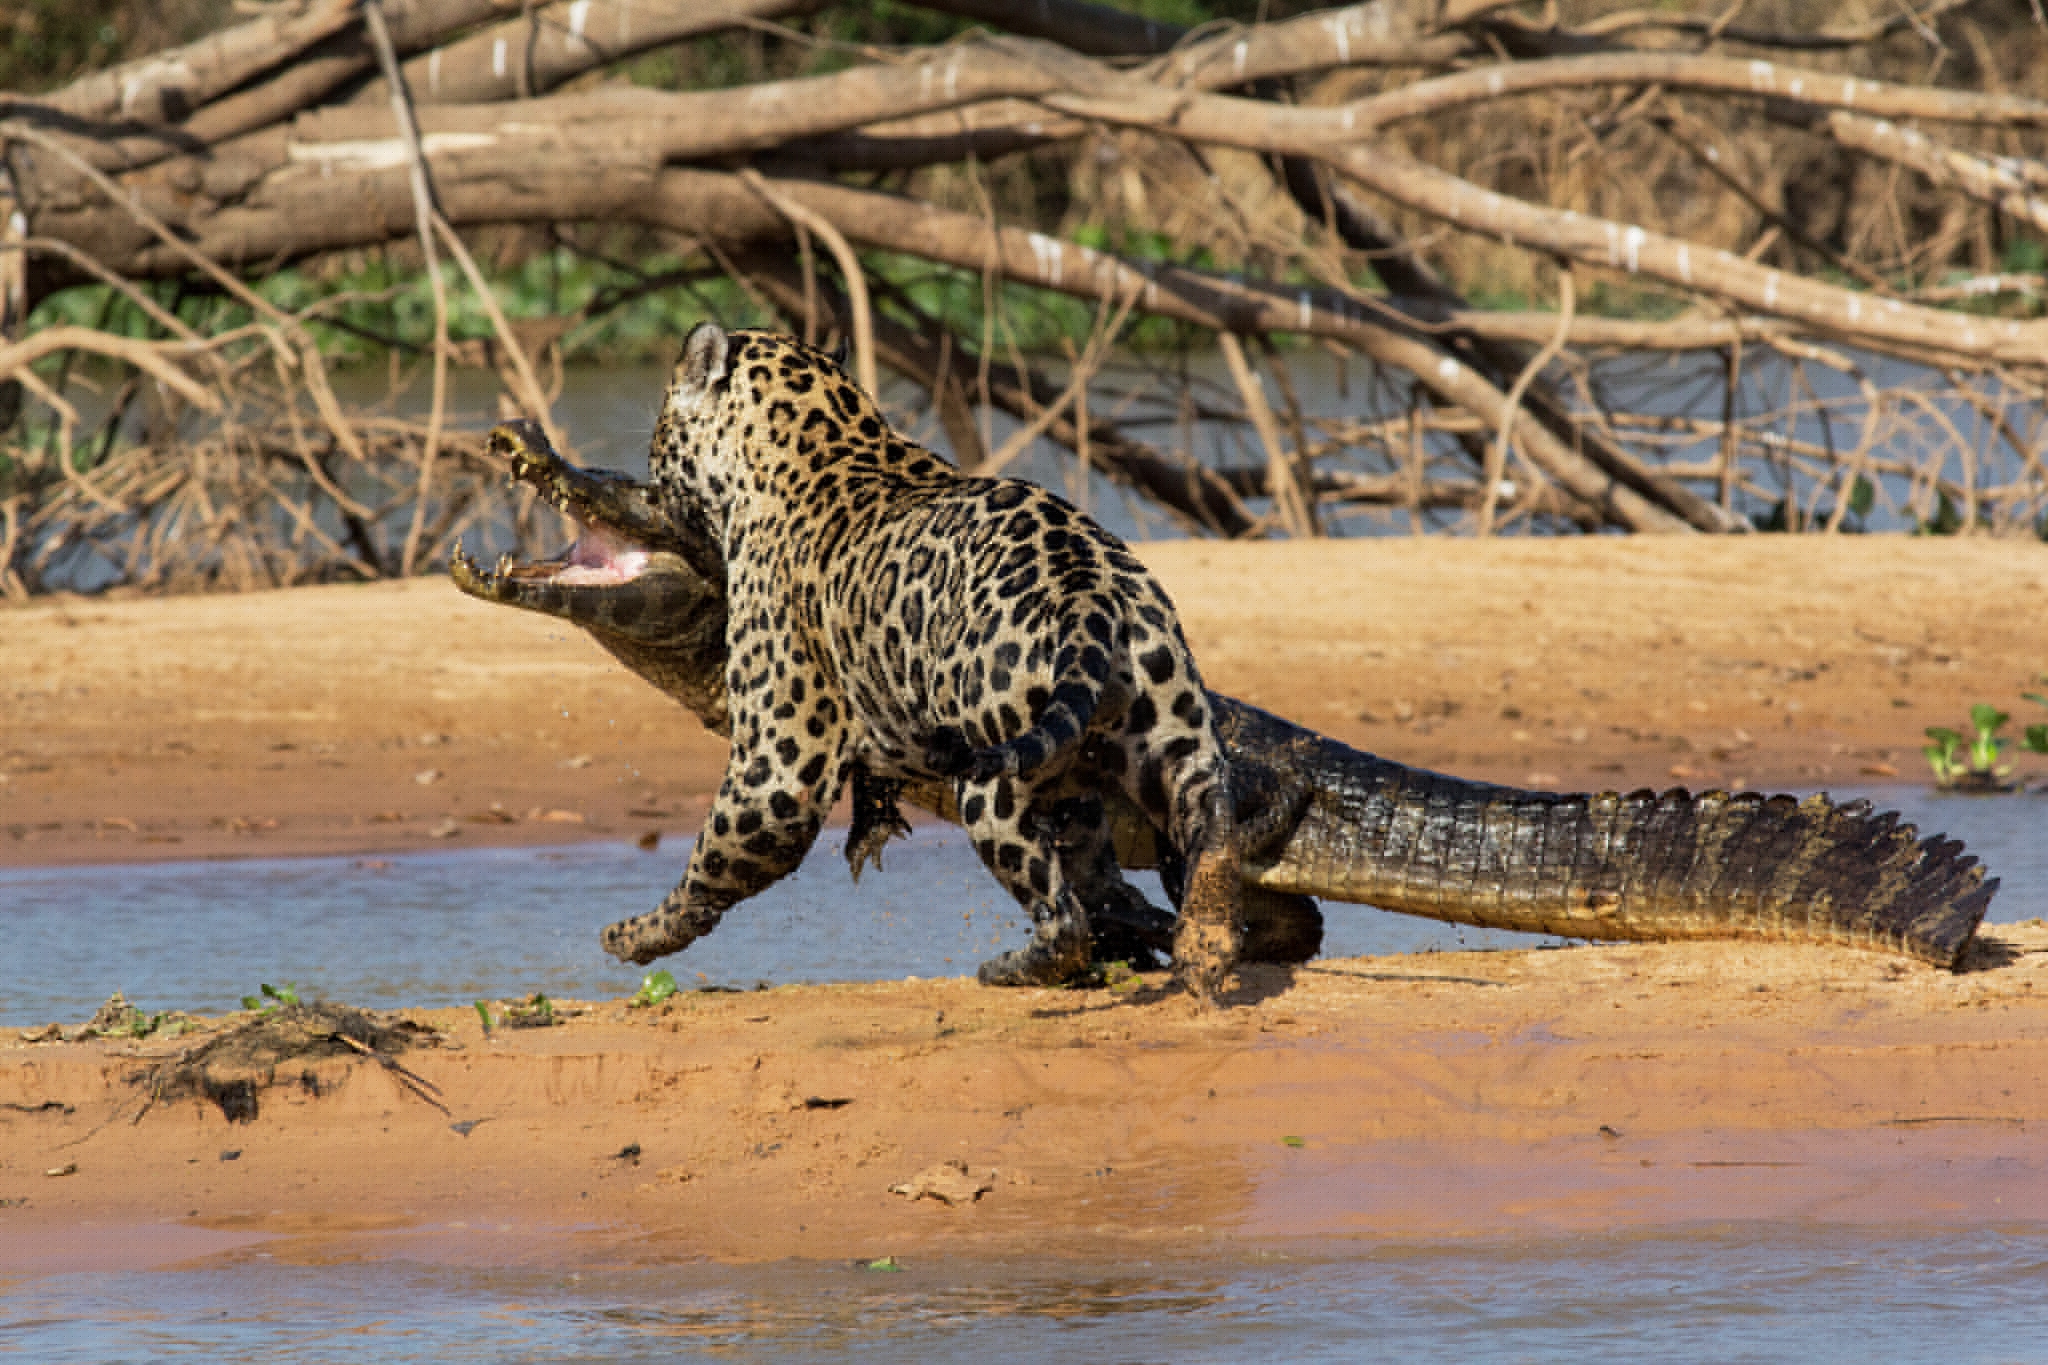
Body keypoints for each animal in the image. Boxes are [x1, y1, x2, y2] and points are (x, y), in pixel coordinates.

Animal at [596, 322, 1244, 998]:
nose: (647, 473)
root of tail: (1085, 585)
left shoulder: (778, 767)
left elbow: (714, 857)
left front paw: (635, 935)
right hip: (1174, 747)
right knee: (1210, 833)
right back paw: (1205, 948)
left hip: (992, 777)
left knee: (1064, 917)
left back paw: (1014, 968)